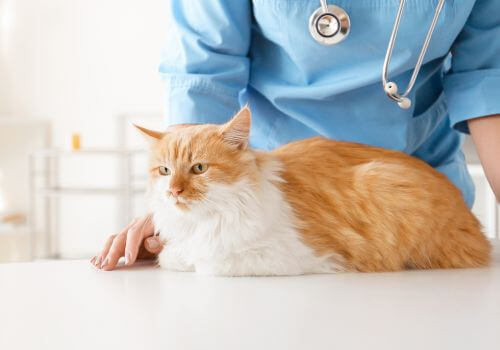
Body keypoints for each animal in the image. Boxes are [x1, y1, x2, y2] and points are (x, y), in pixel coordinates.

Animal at [137, 106, 492, 276]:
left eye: (199, 168)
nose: (174, 191)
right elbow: (173, 255)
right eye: (164, 171)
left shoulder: (292, 255)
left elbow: (204, 262)